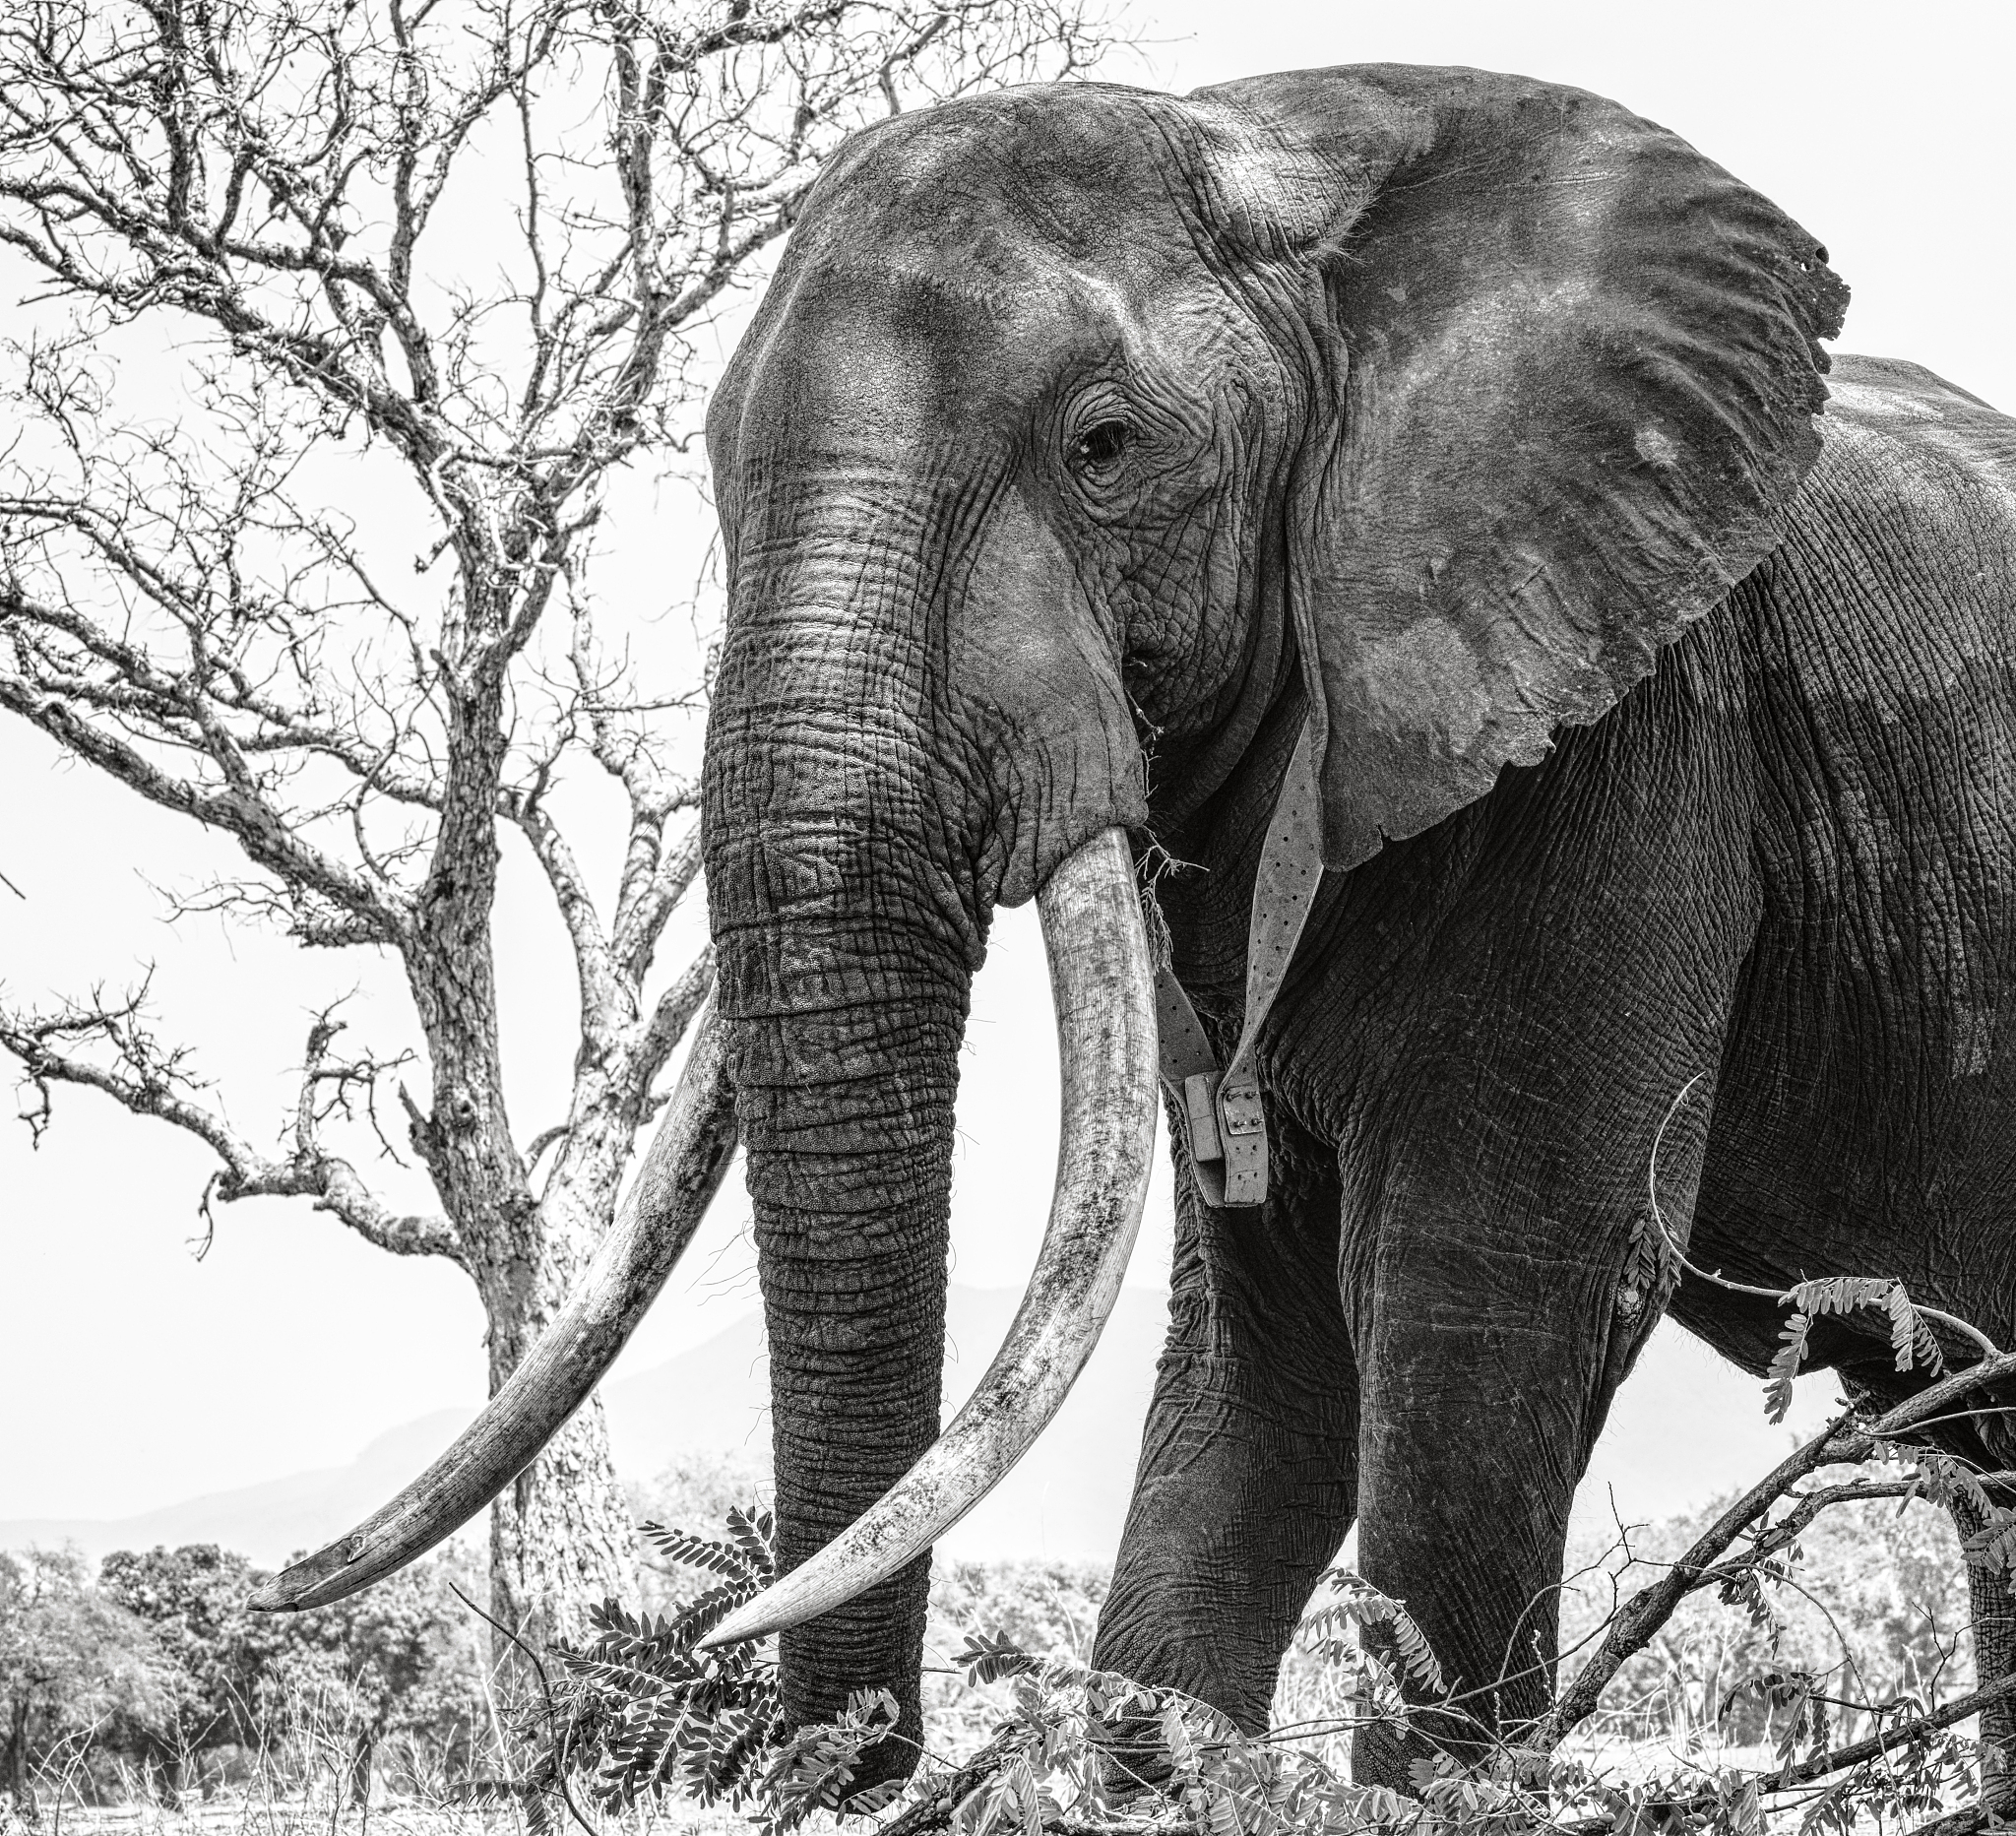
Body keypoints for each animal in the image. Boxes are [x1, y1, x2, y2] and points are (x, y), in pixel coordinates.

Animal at [257, 61, 2016, 1787]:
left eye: (1103, 446)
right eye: (706, 459)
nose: (834, 1754)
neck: (1287, 153)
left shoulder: (1636, 736)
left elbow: (1491, 1305)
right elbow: (1266, 1354)